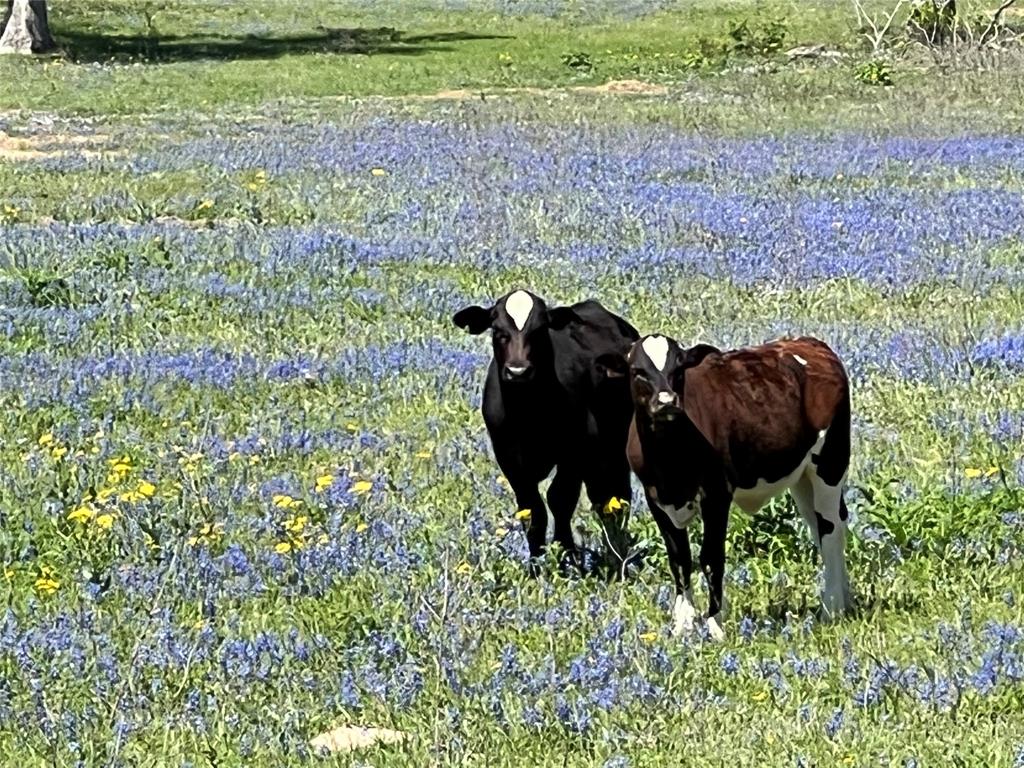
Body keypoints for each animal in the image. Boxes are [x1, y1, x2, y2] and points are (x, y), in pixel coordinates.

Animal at [454, 290, 638, 577]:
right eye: (498, 330)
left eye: (539, 330)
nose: (518, 370)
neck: (527, 412)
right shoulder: (509, 458)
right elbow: (532, 510)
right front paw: (535, 567)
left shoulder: (574, 453)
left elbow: (559, 500)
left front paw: (568, 560)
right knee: (603, 497)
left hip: (615, 445)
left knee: (616, 498)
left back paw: (617, 550)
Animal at [598, 333, 851, 638]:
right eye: (638, 371)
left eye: (679, 369)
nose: (667, 401)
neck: (669, 458)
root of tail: (810, 343)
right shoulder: (655, 498)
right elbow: (679, 560)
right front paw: (682, 624)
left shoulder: (717, 494)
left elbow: (711, 558)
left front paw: (714, 624)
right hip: (802, 478)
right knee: (821, 528)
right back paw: (841, 598)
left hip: (830, 464)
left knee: (830, 530)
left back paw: (832, 608)